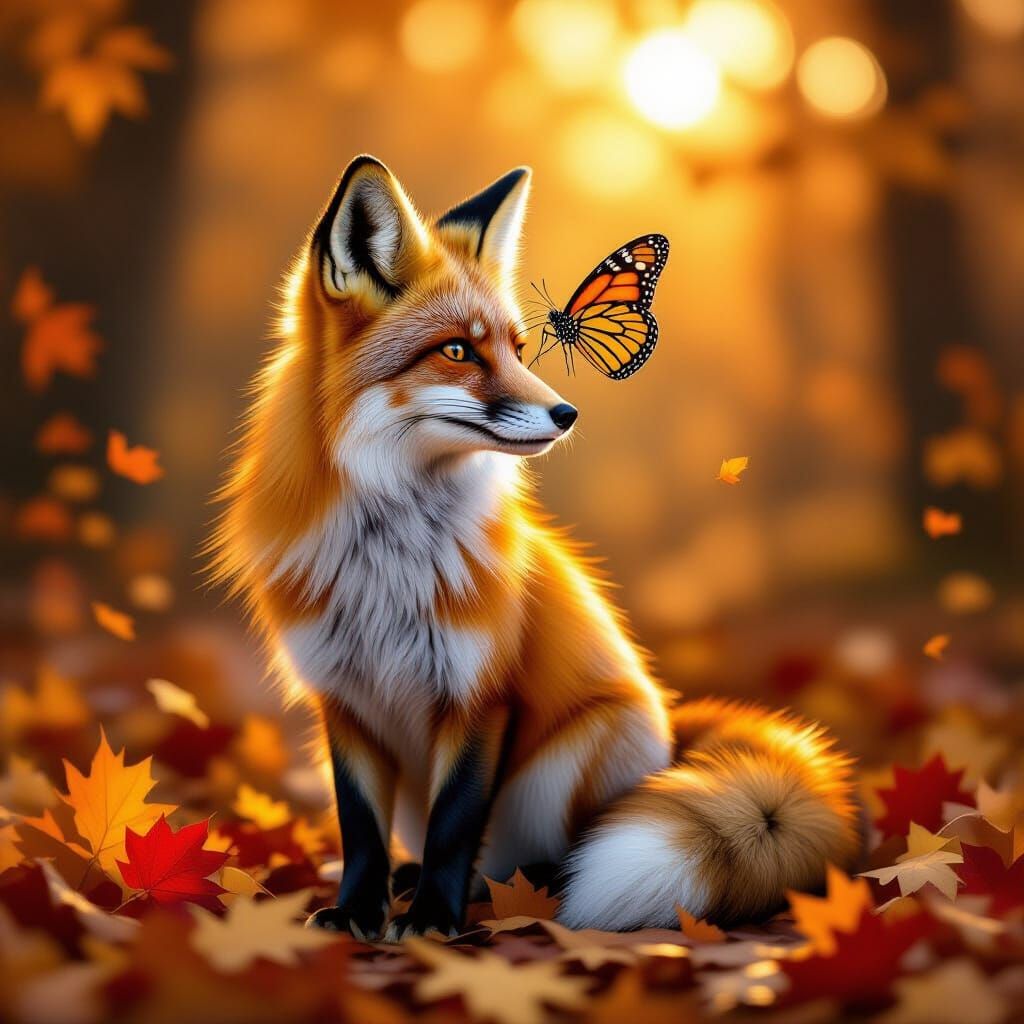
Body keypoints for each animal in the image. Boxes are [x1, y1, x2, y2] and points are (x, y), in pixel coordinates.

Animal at [210, 154, 862, 941]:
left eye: (518, 349)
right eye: (457, 350)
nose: (567, 412)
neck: (387, 558)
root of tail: (676, 738)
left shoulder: (481, 695)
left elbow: (455, 828)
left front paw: (433, 923)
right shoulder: (343, 698)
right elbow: (360, 829)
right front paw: (358, 912)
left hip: (575, 756)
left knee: (533, 857)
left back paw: (528, 891)